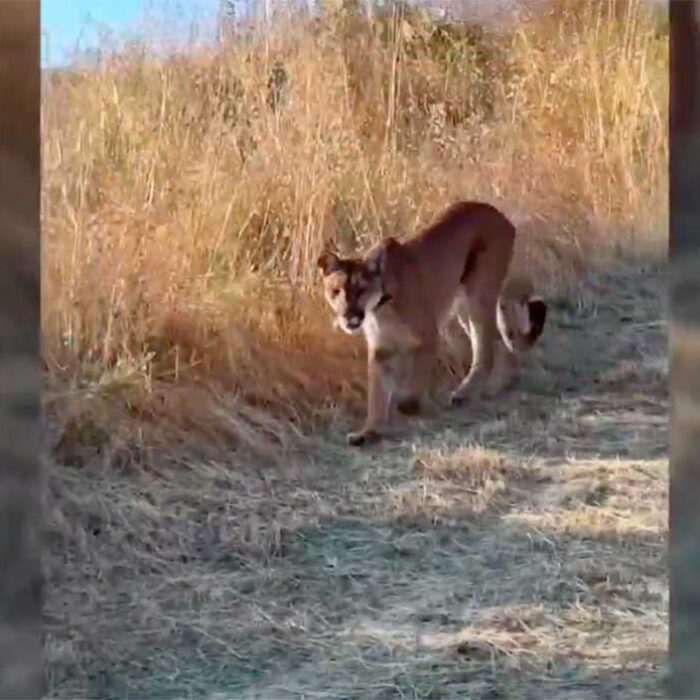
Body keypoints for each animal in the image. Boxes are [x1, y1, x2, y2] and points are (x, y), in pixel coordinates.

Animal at [317, 201, 546, 446]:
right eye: (336, 291)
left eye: (360, 290)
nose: (348, 316)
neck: (380, 307)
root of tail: (496, 212)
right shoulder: (381, 348)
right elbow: (376, 394)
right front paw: (368, 432)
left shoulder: (428, 336)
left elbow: (415, 381)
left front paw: (406, 406)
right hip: (463, 306)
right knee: (496, 341)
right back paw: (496, 385)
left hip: (478, 295)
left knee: (485, 349)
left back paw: (465, 392)